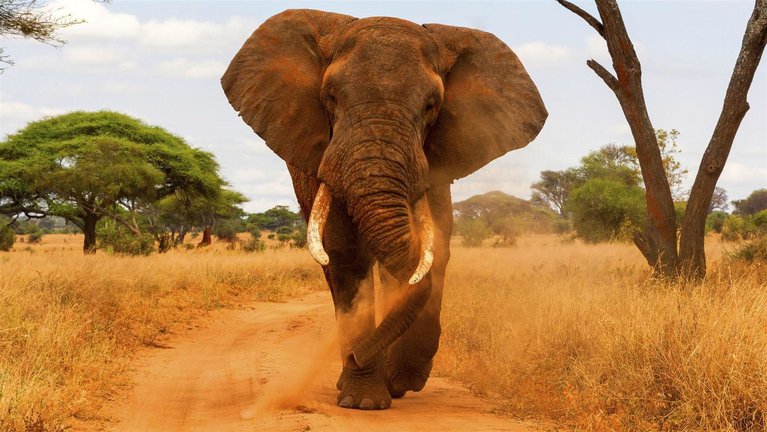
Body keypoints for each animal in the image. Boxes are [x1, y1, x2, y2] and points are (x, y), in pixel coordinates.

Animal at [221, 9, 547, 410]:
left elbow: (433, 251)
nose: (356, 355)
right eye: (330, 96)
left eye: (431, 105)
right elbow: (346, 256)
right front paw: (363, 400)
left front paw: (400, 380)